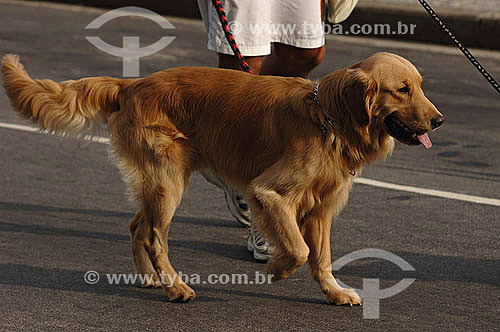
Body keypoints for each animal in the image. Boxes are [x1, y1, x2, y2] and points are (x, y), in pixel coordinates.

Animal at [1, 52, 444, 306]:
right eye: (402, 89)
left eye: (420, 86)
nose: (439, 120)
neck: (328, 117)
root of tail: (133, 84)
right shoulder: (269, 191)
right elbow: (299, 250)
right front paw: (277, 268)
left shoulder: (322, 208)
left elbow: (321, 257)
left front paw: (333, 292)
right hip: (168, 182)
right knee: (153, 236)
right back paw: (174, 286)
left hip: (159, 183)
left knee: (136, 226)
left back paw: (149, 279)